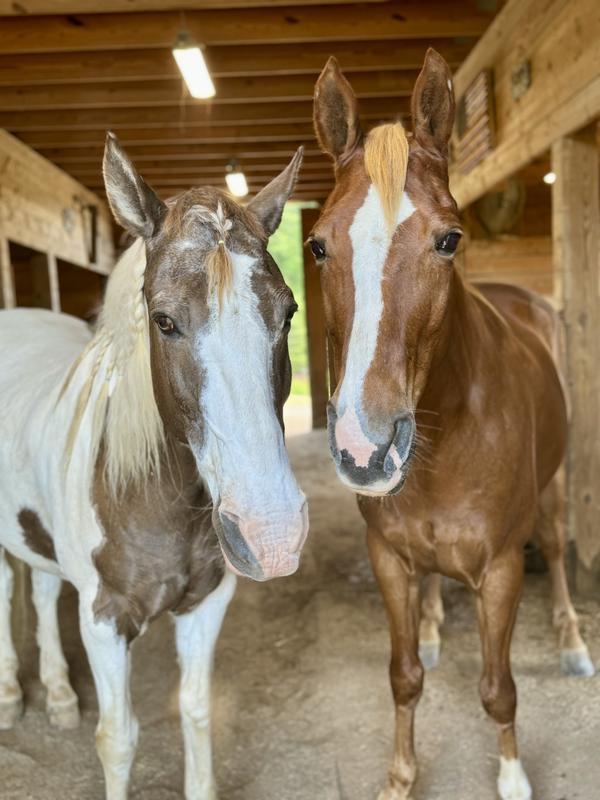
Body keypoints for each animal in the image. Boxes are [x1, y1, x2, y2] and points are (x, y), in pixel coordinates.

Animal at [0, 132, 309, 800]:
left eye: (289, 313)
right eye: (164, 320)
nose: (272, 534)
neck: (152, 497)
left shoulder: (206, 604)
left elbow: (195, 712)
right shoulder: (103, 620)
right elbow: (118, 739)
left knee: (40, 586)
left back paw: (58, 695)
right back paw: (12, 694)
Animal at [310, 49, 593, 800]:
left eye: (449, 238)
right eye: (317, 246)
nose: (365, 448)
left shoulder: (500, 569)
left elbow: (498, 688)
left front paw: (514, 776)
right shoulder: (387, 559)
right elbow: (404, 679)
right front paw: (400, 776)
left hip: (555, 487)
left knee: (558, 551)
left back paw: (572, 639)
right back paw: (437, 625)